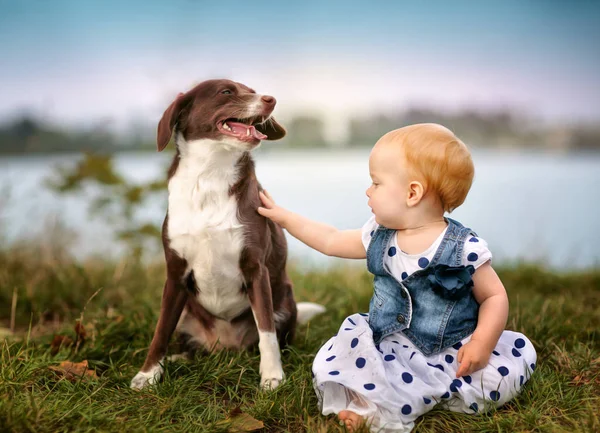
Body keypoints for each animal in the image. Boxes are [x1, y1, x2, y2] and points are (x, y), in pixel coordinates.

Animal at [131, 79, 326, 390]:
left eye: (253, 90)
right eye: (226, 92)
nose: (271, 100)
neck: (210, 174)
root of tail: (224, 348)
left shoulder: (255, 268)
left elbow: (266, 332)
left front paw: (272, 376)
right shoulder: (175, 273)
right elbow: (161, 330)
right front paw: (148, 374)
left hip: (285, 301)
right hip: (187, 311)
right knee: (189, 344)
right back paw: (178, 358)